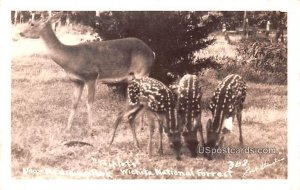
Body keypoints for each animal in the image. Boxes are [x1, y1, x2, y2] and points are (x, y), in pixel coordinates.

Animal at [19, 12, 155, 132]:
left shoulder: (91, 76)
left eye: (32, 24)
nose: (20, 33)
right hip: (133, 78)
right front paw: (67, 129)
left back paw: (140, 127)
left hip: (142, 72)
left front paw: (91, 130)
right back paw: (137, 125)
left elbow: (89, 103)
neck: (71, 58)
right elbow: (74, 103)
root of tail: (152, 53)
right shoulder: (77, 81)